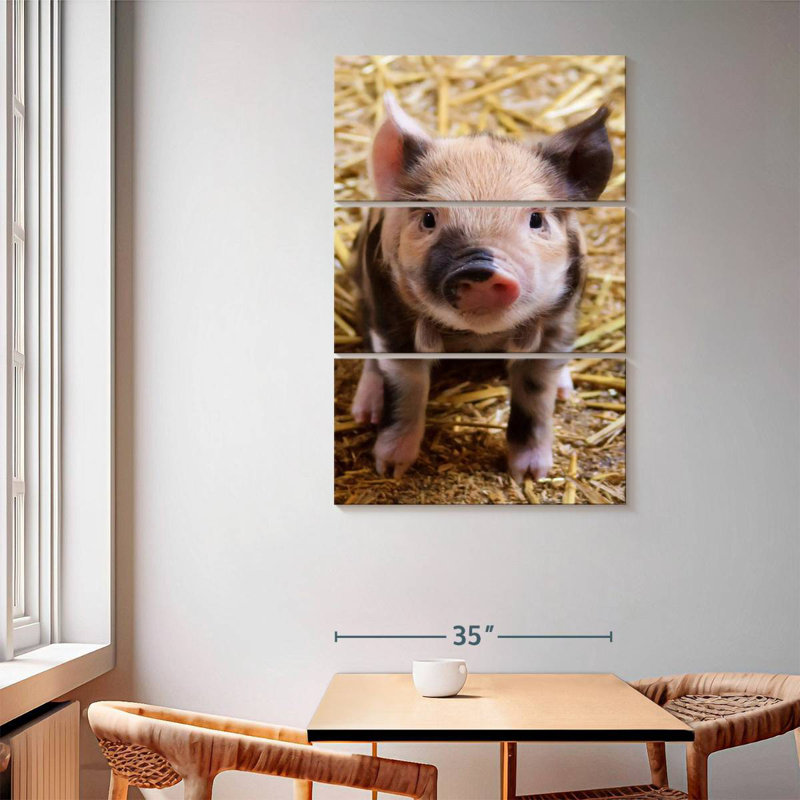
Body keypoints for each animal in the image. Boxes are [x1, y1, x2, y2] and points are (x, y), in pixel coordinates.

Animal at [348, 93, 613, 482]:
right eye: (429, 218)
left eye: (536, 219)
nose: (480, 269)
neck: (477, 339)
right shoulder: (390, 316)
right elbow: (406, 390)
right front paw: (391, 469)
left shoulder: (559, 319)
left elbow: (536, 395)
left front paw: (530, 475)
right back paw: (364, 412)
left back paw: (567, 391)